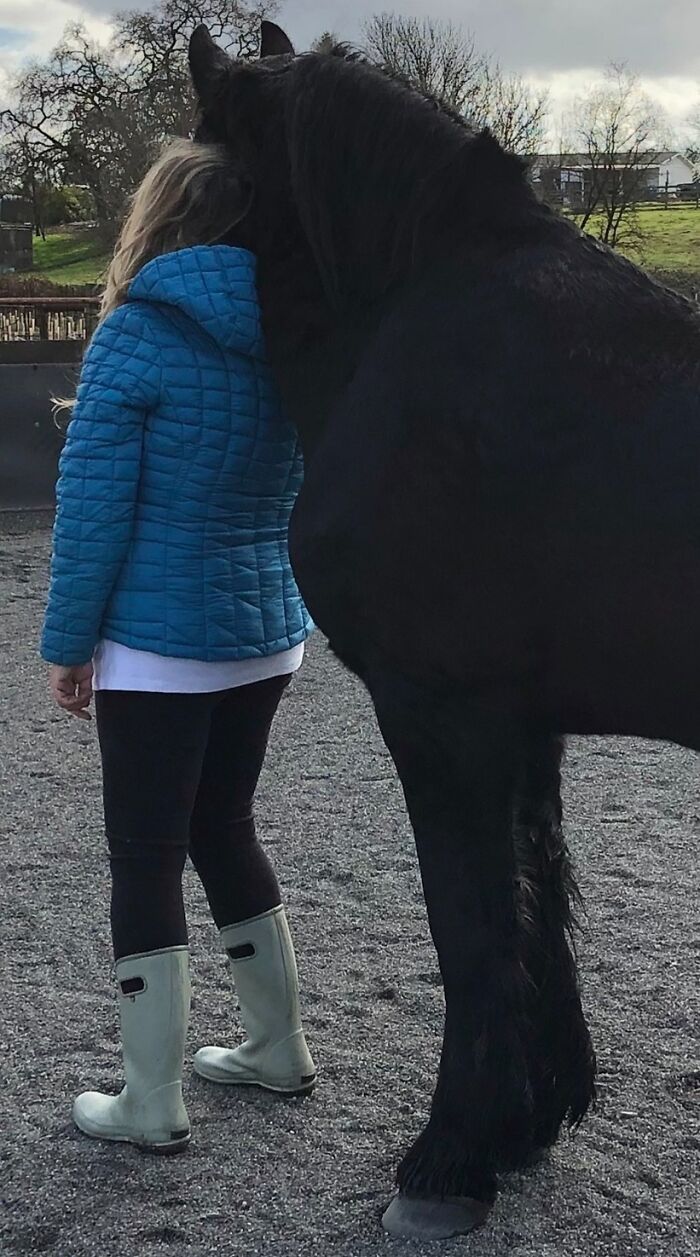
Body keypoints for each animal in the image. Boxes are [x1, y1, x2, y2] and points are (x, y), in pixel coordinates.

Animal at [187, 20, 700, 1241]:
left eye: (191, 173)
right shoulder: (523, 728)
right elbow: (535, 902)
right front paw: (530, 1119)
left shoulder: (440, 716)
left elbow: (468, 927)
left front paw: (449, 1158)